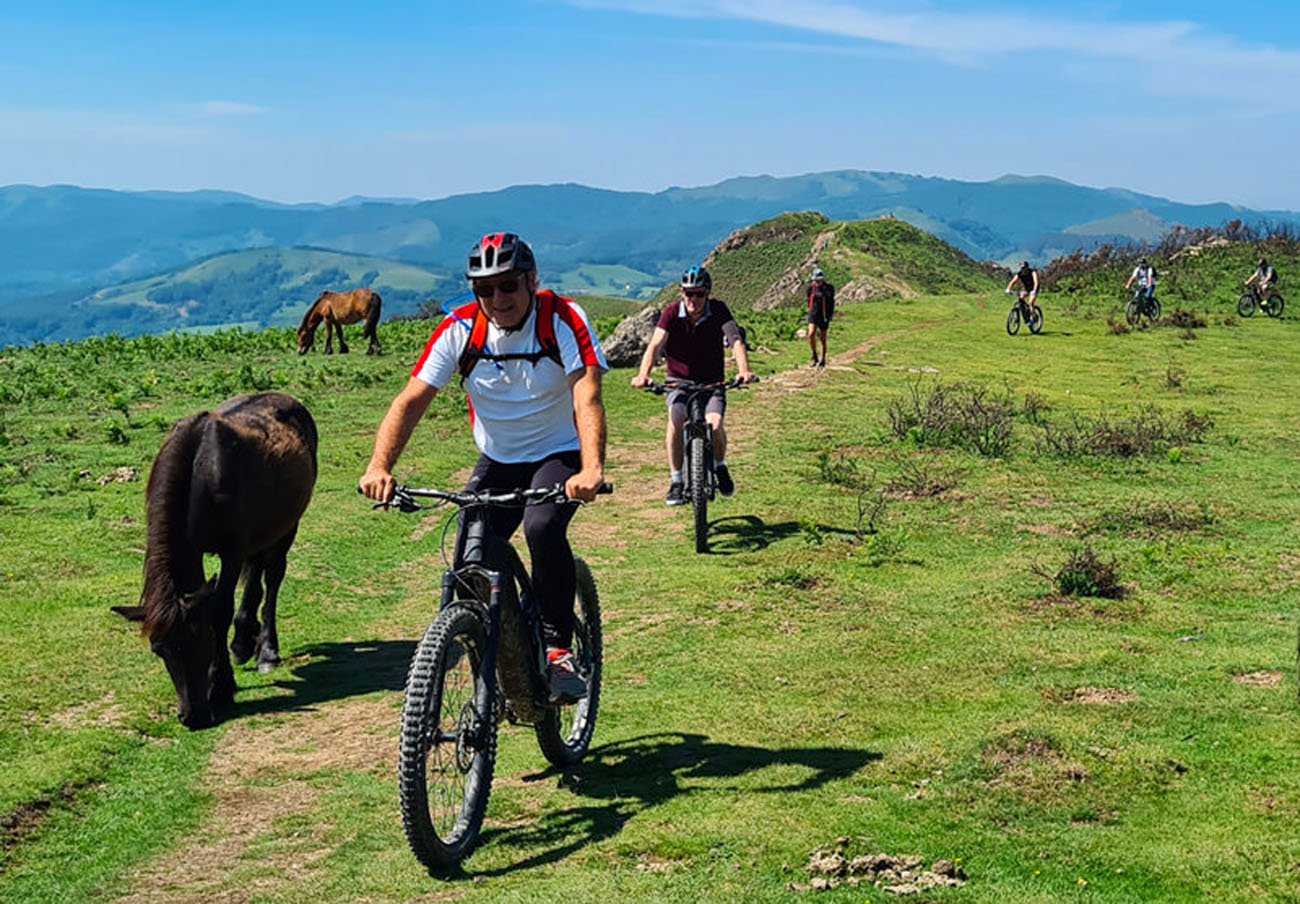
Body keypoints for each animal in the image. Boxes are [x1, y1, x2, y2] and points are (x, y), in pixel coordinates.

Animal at [113, 392, 318, 733]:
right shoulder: (194, 550)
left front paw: (221, 688)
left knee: (272, 577)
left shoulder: (231, 551)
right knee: (257, 573)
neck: (202, 472)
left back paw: (267, 650)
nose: (192, 716)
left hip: (288, 525)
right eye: (159, 650)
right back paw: (244, 641)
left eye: (204, 642)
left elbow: (221, 609)